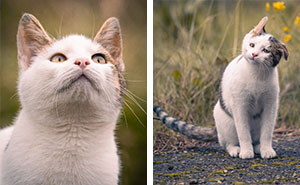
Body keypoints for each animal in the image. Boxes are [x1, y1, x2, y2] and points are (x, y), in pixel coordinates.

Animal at [155, 16, 288, 159]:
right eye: (252, 45)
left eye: (266, 51)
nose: (254, 54)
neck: (256, 74)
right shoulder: (240, 105)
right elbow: (243, 133)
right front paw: (246, 152)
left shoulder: (271, 105)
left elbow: (267, 132)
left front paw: (267, 150)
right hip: (226, 122)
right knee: (228, 143)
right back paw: (236, 149)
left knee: (256, 138)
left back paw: (257, 147)